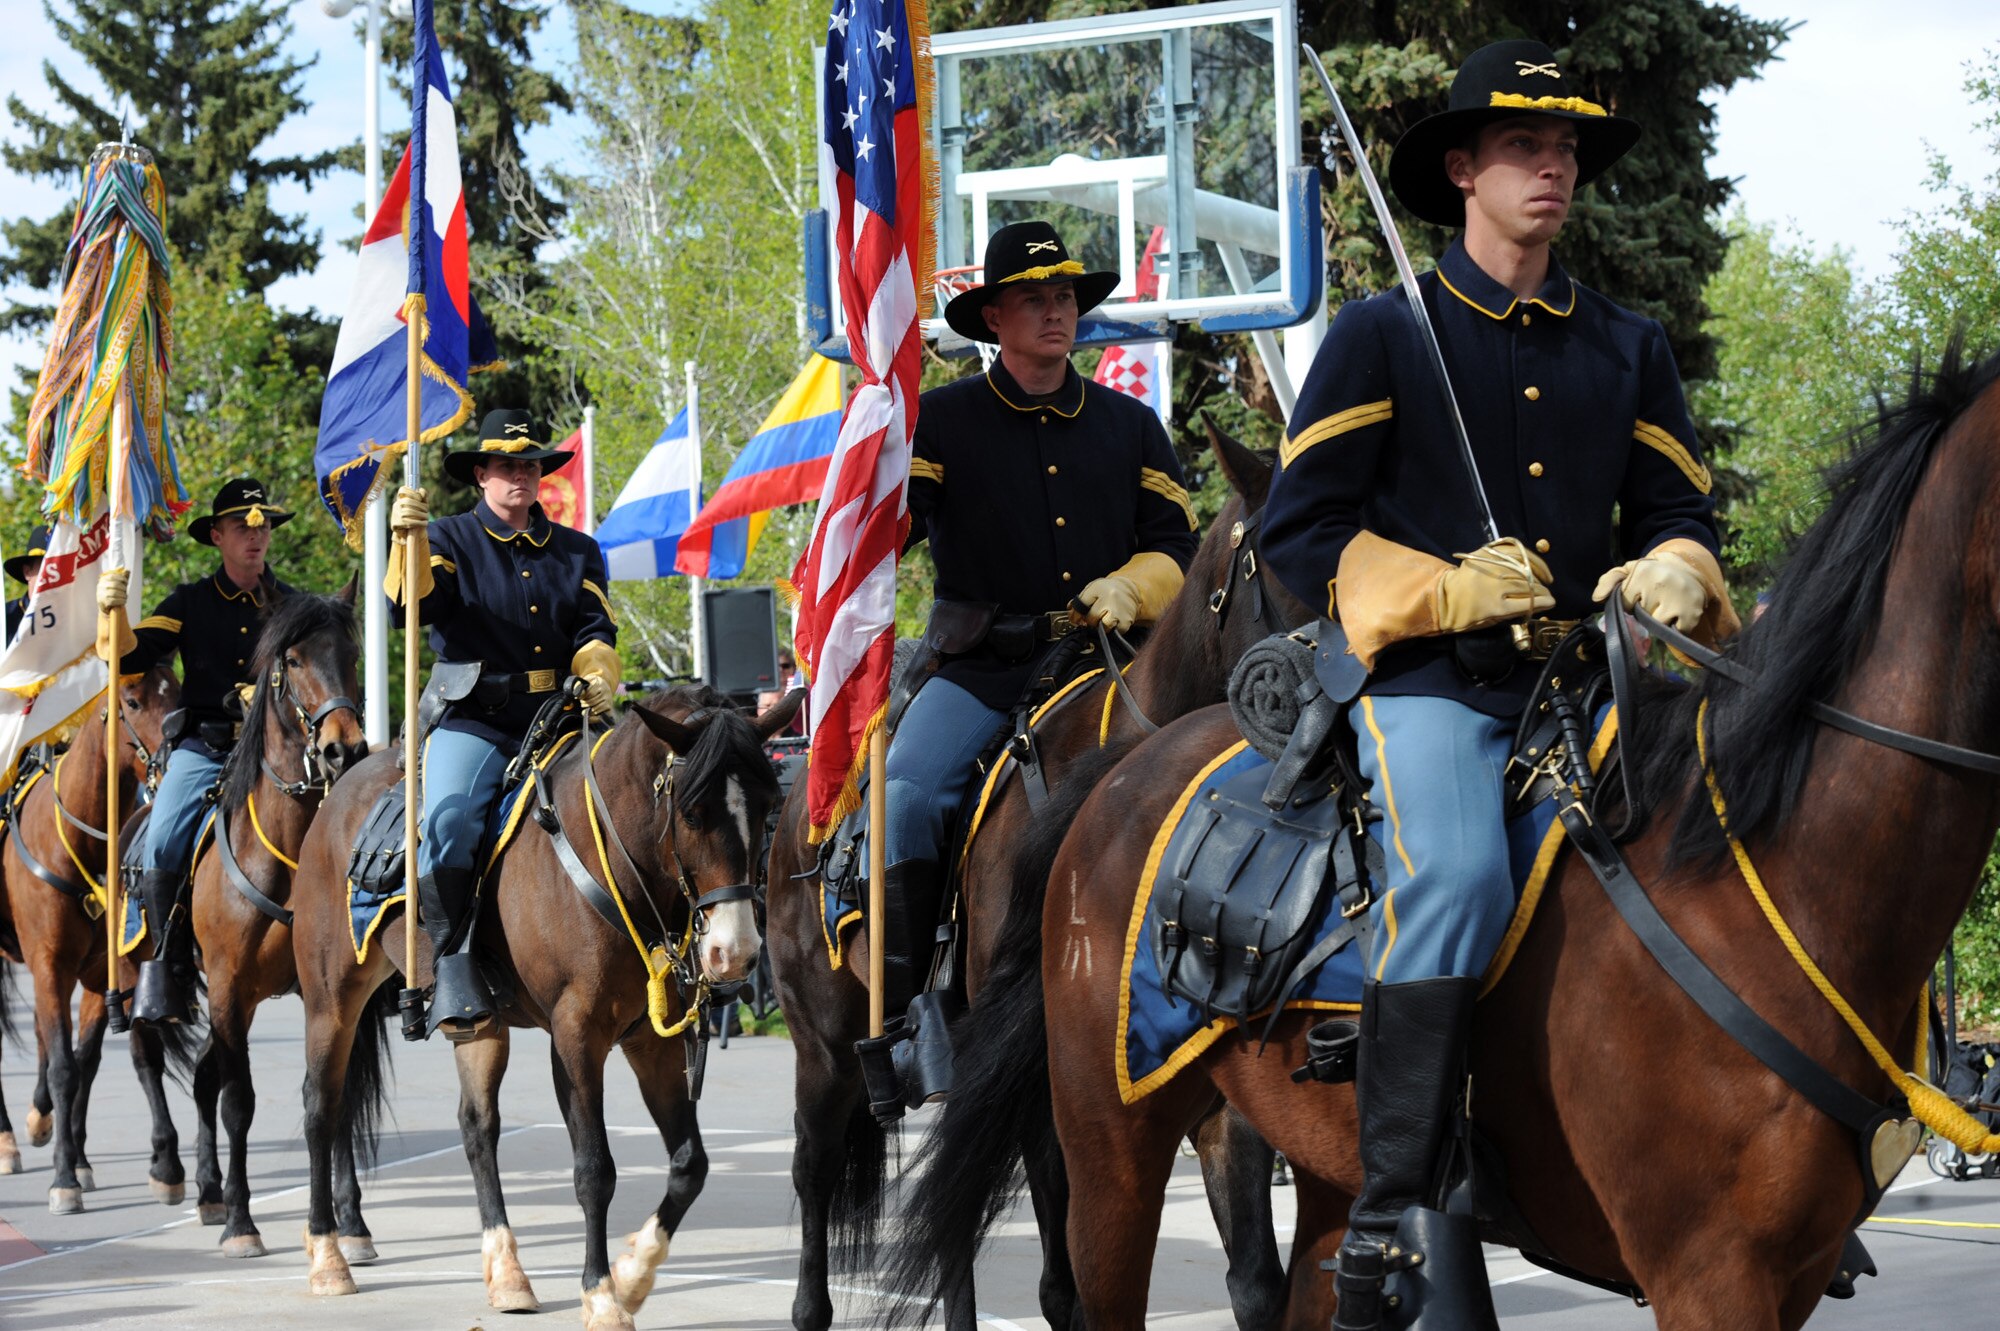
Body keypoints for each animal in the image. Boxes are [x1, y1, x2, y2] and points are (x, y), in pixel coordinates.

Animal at [0, 659, 178, 1199]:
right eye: (133, 702)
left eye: (178, 692)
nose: (176, 757)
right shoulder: (48, 963)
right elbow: (64, 1065)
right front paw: (63, 1178)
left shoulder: (104, 973)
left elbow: (88, 1061)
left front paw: (77, 1158)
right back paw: (9, 1140)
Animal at [292, 679, 804, 1319]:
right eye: (693, 813)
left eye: (767, 805)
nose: (734, 953)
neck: (615, 862)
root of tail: (339, 792)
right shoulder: (577, 1036)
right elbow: (594, 1170)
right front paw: (601, 1295)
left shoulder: (651, 1042)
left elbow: (691, 1163)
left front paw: (633, 1273)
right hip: (331, 1000)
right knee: (321, 1107)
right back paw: (327, 1257)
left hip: (478, 1024)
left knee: (476, 1127)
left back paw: (506, 1272)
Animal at [764, 419, 1312, 1319]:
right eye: (1281, 553)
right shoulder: (1048, 1086)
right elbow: (1067, 1285)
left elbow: (1259, 1282)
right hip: (825, 1048)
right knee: (816, 1178)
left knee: (947, 1223)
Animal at [928, 343, 2000, 1327]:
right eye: (1268, 556)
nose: (1311, 673)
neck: (1769, 870)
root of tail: (1120, 768)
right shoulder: (1709, 1270)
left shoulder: (1793, 1271)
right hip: (1109, 1144)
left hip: (1317, 1167)